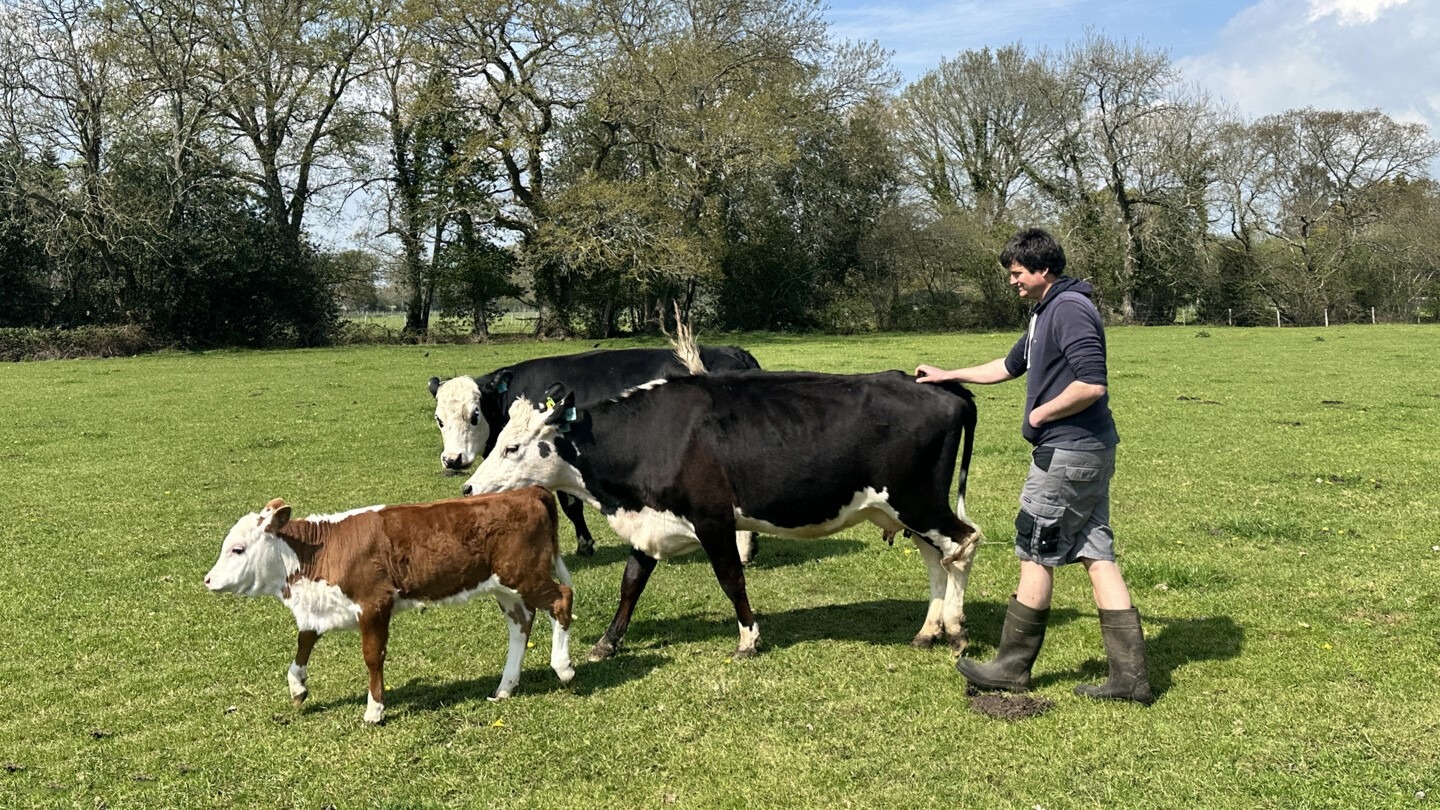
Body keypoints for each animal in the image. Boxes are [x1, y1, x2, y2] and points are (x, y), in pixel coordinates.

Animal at [204, 487, 574, 724]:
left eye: (238, 549)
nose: (208, 580)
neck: (320, 552)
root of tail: (527, 492)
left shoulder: (374, 604)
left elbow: (372, 657)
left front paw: (374, 710)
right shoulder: (321, 608)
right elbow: (304, 642)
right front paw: (298, 687)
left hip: (524, 575)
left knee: (562, 599)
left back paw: (564, 668)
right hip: (505, 587)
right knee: (521, 623)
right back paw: (505, 687)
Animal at [429, 345, 762, 557]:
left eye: (474, 415)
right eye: (439, 419)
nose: (452, 459)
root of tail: (734, 352)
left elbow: (570, 505)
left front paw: (585, 544)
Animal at [459, 369, 981, 663]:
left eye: (512, 447)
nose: (468, 488)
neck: (650, 438)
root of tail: (941, 388)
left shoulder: (713, 520)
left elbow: (732, 579)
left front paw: (749, 638)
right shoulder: (649, 523)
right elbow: (631, 584)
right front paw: (608, 642)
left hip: (919, 502)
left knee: (963, 544)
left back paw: (956, 631)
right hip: (910, 510)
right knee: (937, 559)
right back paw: (929, 630)